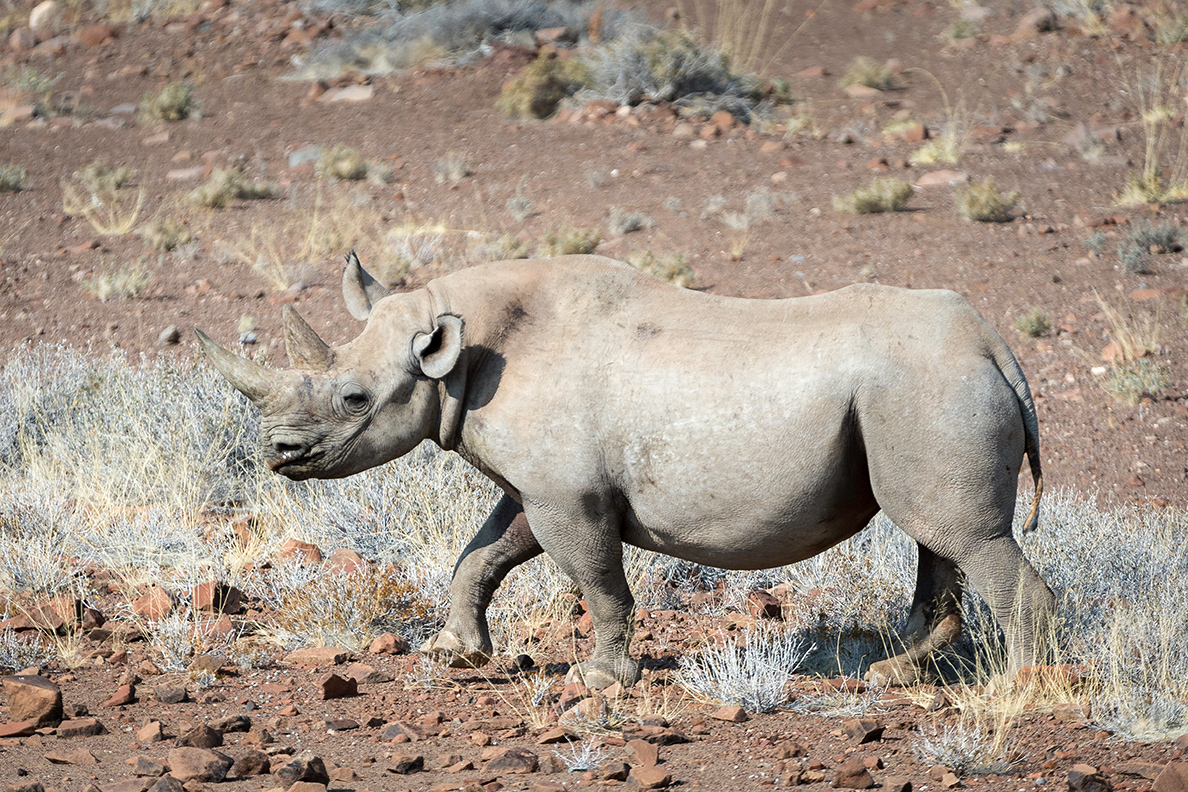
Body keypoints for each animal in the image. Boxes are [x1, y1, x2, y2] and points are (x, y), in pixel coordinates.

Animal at [197, 253, 1054, 689]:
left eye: (353, 398)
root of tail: (996, 347)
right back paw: (892, 675)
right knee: (937, 537)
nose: (278, 453)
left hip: (929, 388)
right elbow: (482, 555)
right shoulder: (538, 487)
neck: (460, 349)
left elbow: (599, 584)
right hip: (919, 391)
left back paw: (1016, 692)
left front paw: (599, 682)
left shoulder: (569, 496)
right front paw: (456, 652)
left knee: (963, 536)